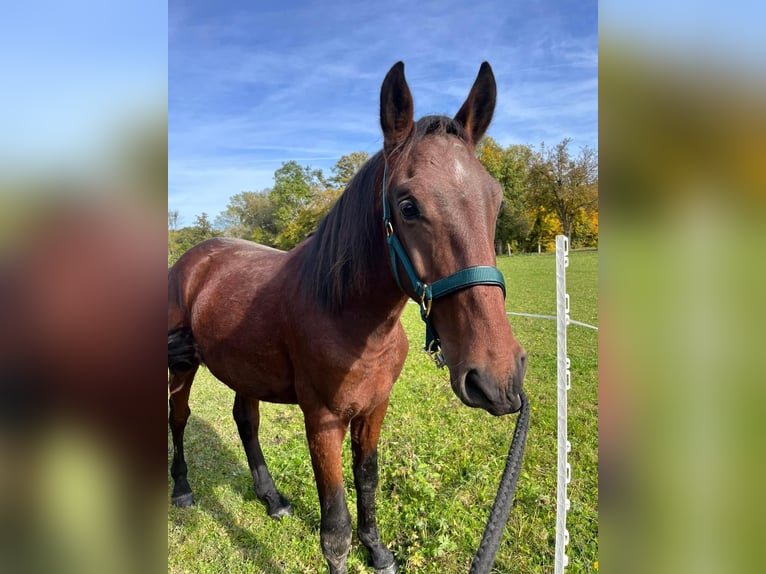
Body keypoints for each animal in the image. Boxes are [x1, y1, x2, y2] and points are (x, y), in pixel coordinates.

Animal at [167, 60, 528, 572]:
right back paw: (182, 489)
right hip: (182, 366)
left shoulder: (374, 408)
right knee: (178, 418)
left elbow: (367, 479)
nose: (498, 378)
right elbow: (334, 527)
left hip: (243, 369)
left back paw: (271, 498)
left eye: (495, 201)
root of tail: (192, 259)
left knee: (245, 420)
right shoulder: (322, 421)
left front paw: (376, 549)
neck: (350, 319)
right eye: (407, 205)